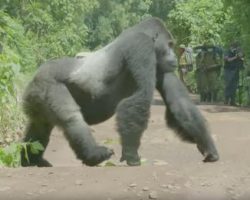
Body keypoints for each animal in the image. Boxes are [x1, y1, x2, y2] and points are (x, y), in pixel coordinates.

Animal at [21, 17, 219, 167]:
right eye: (169, 45)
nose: (174, 57)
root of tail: (34, 76)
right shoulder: (141, 46)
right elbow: (139, 99)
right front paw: (131, 154)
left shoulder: (161, 65)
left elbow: (179, 104)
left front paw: (207, 146)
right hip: (47, 83)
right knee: (72, 118)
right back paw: (93, 154)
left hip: (36, 95)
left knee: (39, 127)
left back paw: (31, 160)